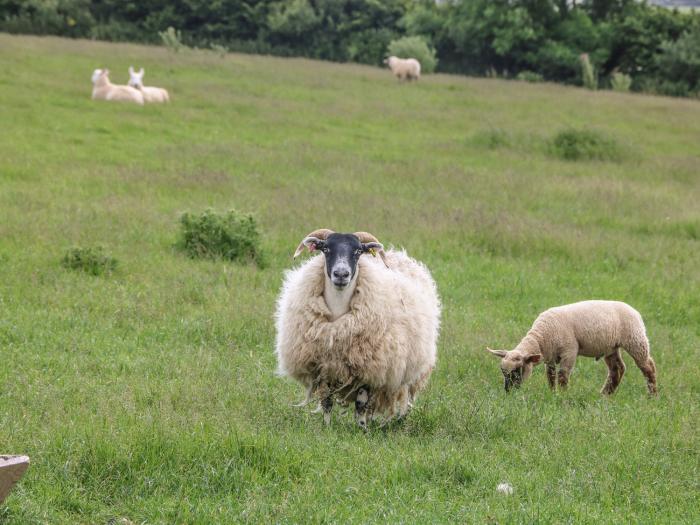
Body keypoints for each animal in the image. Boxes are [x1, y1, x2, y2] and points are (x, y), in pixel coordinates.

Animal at [274, 227, 438, 428]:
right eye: (326, 249)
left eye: (358, 251)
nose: (341, 274)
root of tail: (398, 254)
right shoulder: (324, 366)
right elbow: (327, 401)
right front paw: (327, 427)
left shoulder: (370, 368)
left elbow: (361, 403)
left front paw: (361, 429)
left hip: (409, 367)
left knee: (404, 395)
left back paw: (398, 420)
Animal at [486, 298, 656, 392]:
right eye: (502, 371)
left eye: (517, 370)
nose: (508, 391)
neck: (542, 337)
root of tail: (635, 311)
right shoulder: (550, 355)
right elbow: (550, 375)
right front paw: (552, 393)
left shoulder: (569, 351)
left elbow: (562, 376)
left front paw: (562, 396)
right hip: (611, 347)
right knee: (617, 369)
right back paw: (604, 395)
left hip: (635, 339)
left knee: (648, 367)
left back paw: (652, 396)